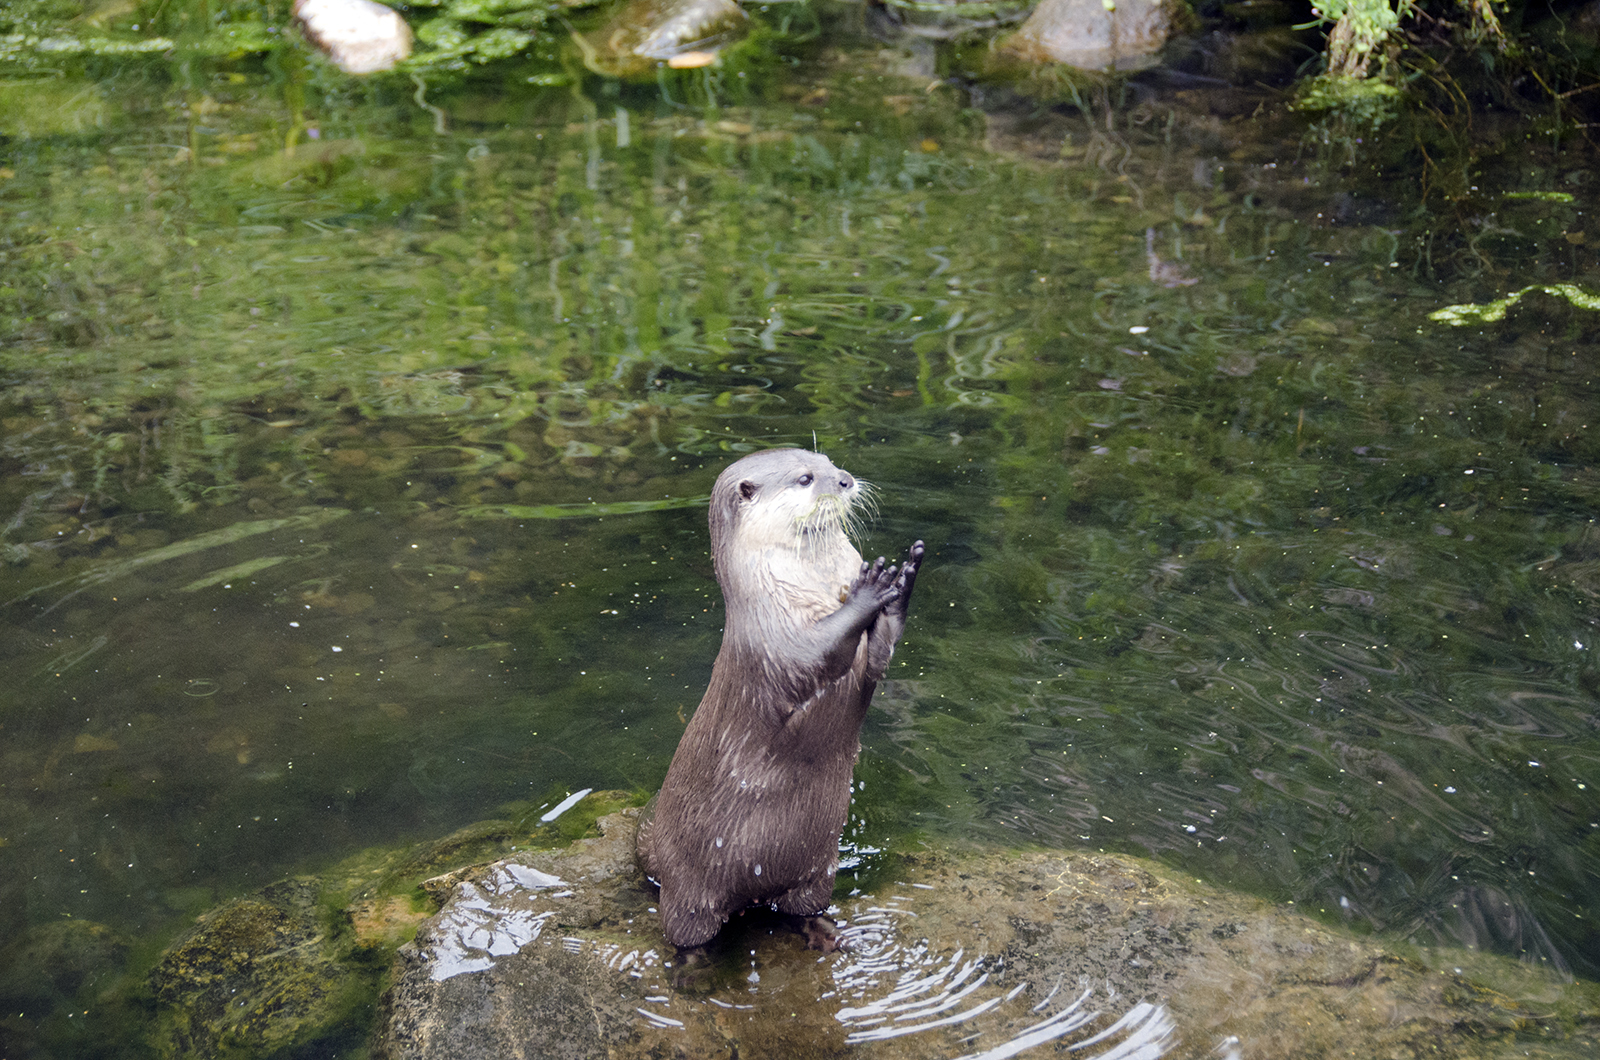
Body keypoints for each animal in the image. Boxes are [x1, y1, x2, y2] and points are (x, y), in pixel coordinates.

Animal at [630, 448, 921, 954]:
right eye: (805, 479)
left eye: (828, 461)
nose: (844, 480)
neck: (813, 585)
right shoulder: (776, 632)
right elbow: (815, 652)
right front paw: (869, 591)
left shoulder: (868, 656)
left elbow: (881, 653)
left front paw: (901, 586)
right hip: (690, 884)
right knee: (685, 929)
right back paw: (692, 963)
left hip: (817, 871)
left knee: (801, 905)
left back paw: (821, 931)